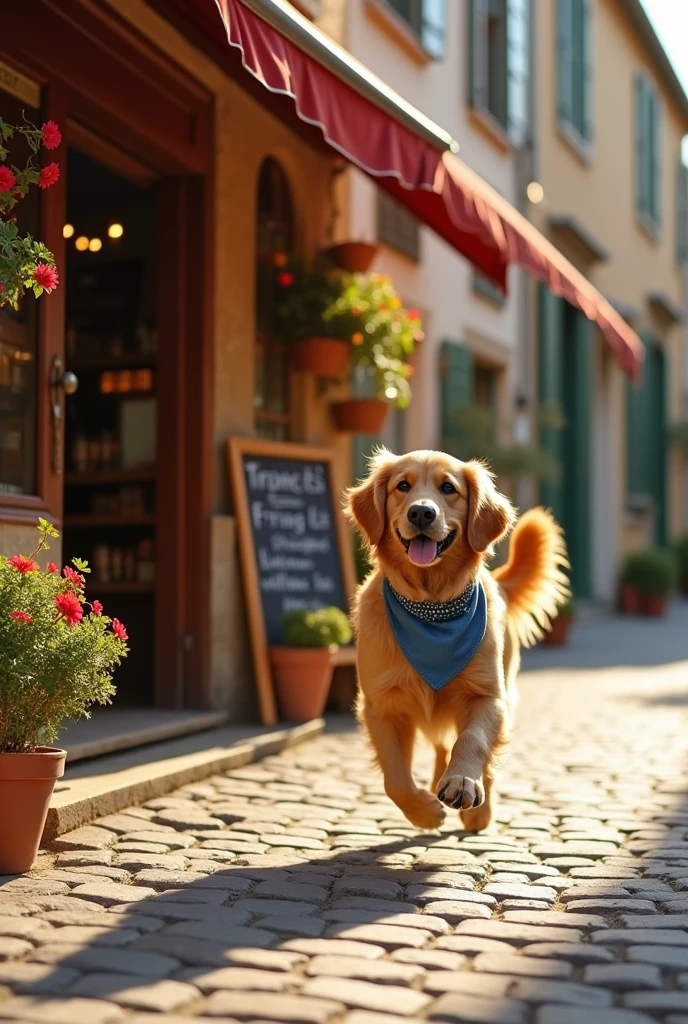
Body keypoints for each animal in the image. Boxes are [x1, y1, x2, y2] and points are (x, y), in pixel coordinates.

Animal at [346, 448, 565, 831]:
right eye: (402, 486)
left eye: (448, 488)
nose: (421, 512)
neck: (432, 610)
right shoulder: (381, 705)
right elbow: (395, 778)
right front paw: (424, 810)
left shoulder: (487, 696)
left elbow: (472, 741)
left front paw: (462, 782)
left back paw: (477, 809)